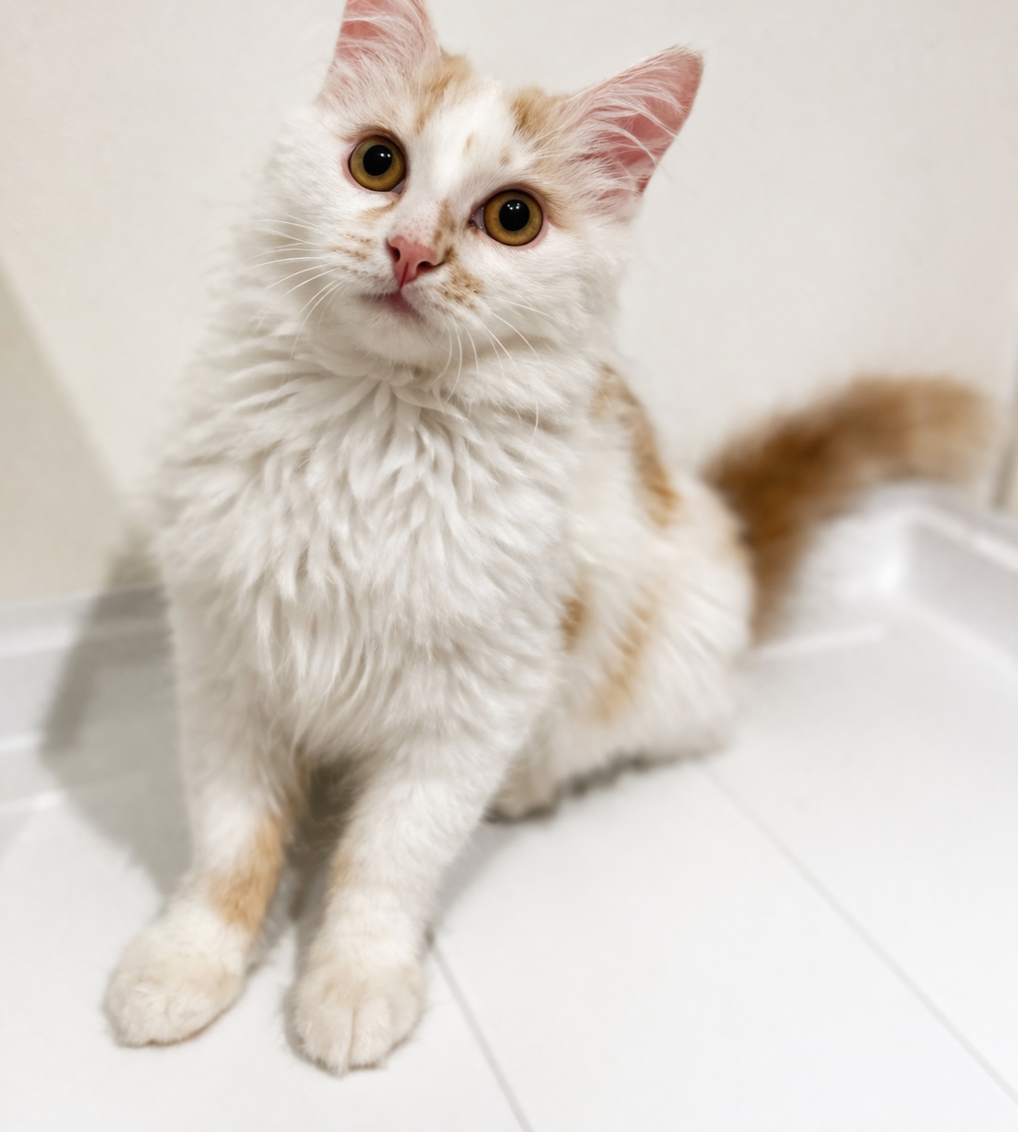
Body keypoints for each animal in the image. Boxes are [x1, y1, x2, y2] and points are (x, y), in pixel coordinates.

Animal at [104, 0, 989, 1074]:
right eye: (378, 163)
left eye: (513, 218)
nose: (411, 251)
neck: (372, 432)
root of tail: (721, 522)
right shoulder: (229, 666)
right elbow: (230, 850)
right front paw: (187, 964)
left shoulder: (474, 701)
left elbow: (386, 864)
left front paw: (353, 983)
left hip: (652, 672)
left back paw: (528, 783)